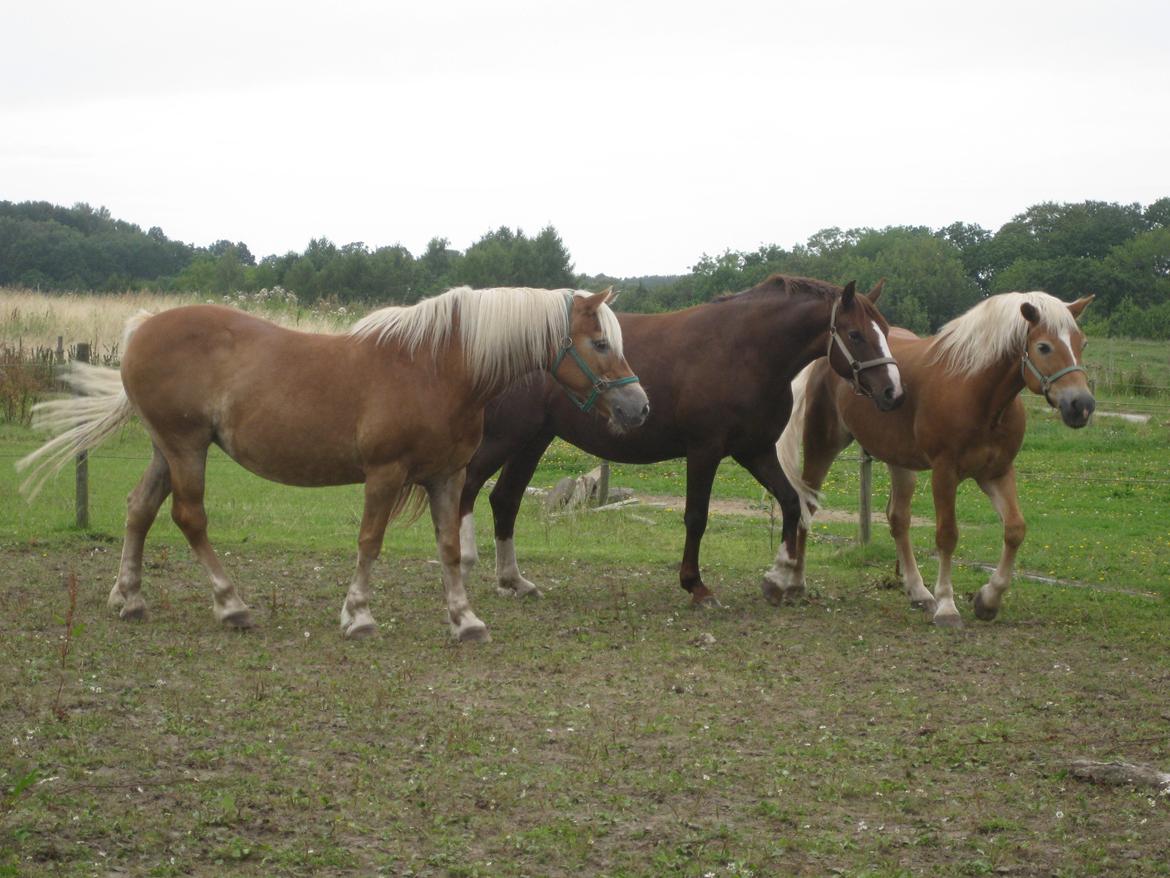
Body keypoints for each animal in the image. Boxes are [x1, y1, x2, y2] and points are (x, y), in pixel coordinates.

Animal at [18, 285, 650, 641]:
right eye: (599, 344)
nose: (638, 406)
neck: (434, 368)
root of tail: (143, 327)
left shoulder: (446, 477)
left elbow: (449, 548)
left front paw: (464, 620)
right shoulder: (385, 474)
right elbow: (370, 542)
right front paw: (359, 615)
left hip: (165, 448)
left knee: (139, 511)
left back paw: (130, 598)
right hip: (186, 447)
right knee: (188, 518)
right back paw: (231, 606)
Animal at [776, 289, 1095, 627]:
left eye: (1082, 343)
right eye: (1044, 346)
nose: (1082, 405)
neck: (976, 390)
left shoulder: (997, 472)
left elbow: (1015, 529)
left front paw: (988, 599)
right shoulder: (945, 473)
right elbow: (947, 535)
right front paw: (947, 606)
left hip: (899, 461)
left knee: (898, 519)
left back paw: (918, 592)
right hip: (823, 445)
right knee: (807, 504)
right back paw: (794, 583)